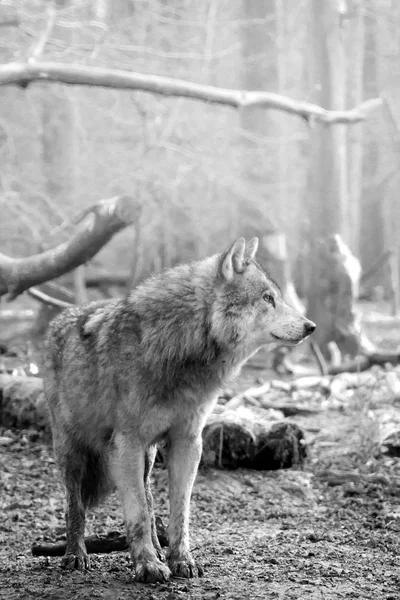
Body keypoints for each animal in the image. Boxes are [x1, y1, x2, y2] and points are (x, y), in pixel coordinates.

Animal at [41, 237, 316, 584]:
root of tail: (58, 319)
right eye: (268, 298)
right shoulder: (126, 442)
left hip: (147, 456)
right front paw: (147, 566)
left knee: (147, 497)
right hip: (73, 452)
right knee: (75, 506)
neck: (182, 346)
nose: (311, 326)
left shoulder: (187, 441)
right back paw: (75, 555)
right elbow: (136, 513)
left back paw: (157, 550)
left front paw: (180, 560)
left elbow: (178, 512)